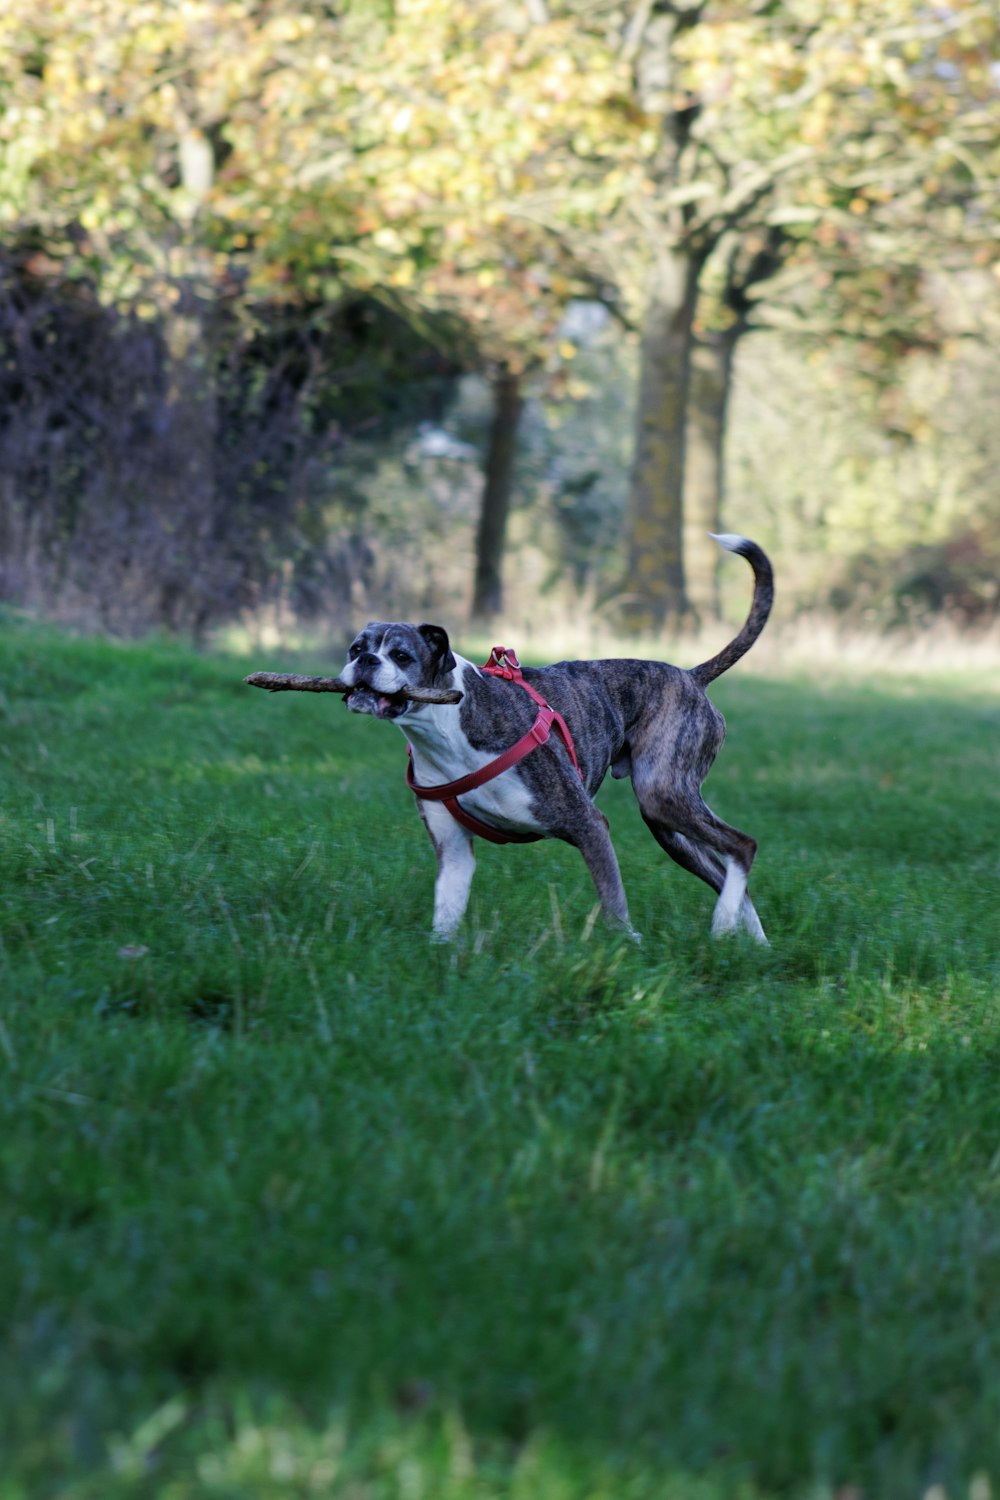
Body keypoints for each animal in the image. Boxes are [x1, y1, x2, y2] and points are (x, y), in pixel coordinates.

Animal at [338, 534, 773, 942]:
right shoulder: (455, 853)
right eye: (355, 648)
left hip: (662, 793)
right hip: (667, 825)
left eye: (401, 656)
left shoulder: (589, 826)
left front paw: (627, 947)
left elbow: (614, 905)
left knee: (743, 846)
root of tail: (691, 675)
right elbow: (445, 918)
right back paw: (751, 943)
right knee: (726, 870)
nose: (365, 660)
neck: (450, 727)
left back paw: (722, 923)